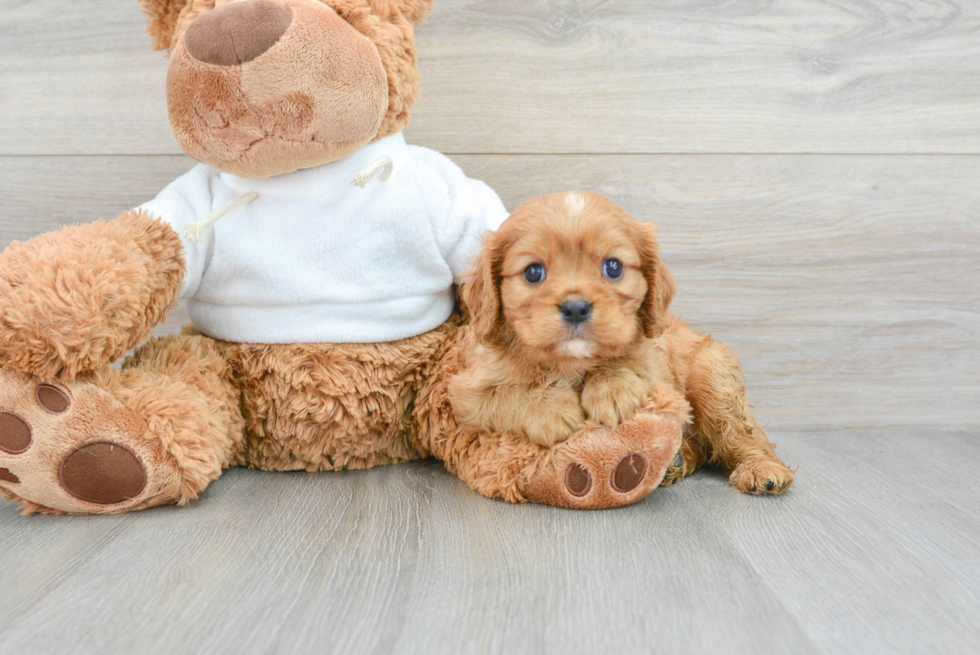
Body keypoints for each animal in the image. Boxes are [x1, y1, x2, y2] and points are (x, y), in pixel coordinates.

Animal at [452, 192, 796, 494]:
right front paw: (551, 410)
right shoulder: (466, 392)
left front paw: (612, 390)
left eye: (614, 267)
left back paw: (761, 469)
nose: (575, 307)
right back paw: (675, 464)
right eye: (533, 272)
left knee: (742, 434)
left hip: (713, 377)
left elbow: (632, 362)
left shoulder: (660, 366)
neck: (570, 363)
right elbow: (505, 395)